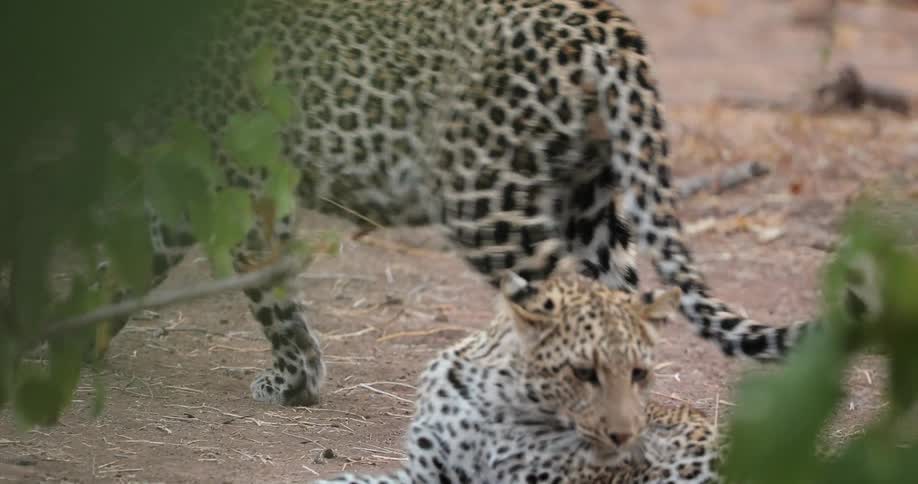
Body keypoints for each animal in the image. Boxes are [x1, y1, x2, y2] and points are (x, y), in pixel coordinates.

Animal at [93, 0, 819, 407]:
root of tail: (601, 22)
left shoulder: (235, 182)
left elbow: (269, 293)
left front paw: (295, 382)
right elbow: (132, 261)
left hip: (486, 202)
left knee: (566, 309)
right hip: (589, 202)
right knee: (618, 313)